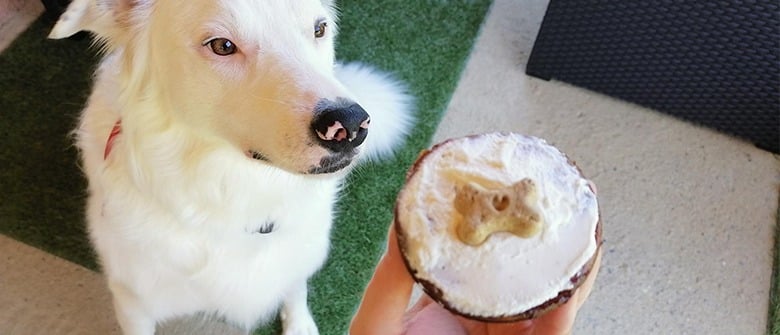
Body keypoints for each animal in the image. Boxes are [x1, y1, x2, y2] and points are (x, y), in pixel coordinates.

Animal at [48, 1, 414, 334]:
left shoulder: (298, 256)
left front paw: (299, 324)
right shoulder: (133, 302)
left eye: (319, 29)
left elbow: (295, 288)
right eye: (222, 46)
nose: (350, 125)